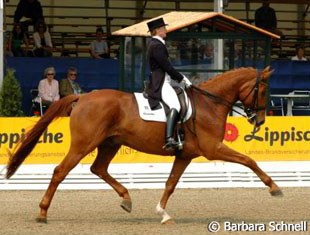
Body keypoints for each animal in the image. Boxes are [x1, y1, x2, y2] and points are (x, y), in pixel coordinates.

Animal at [4, 66, 282, 224]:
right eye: (262, 90)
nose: (260, 120)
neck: (209, 104)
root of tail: (83, 97)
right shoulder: (212, 148)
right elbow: (249, 160)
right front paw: (274, 188)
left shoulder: (185, 155)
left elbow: (171, 183)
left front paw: (163, 213)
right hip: (84, 144)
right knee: (60, 171)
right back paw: (42, 213)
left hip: (110, 143)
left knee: (98, 169)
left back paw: (126, 199)